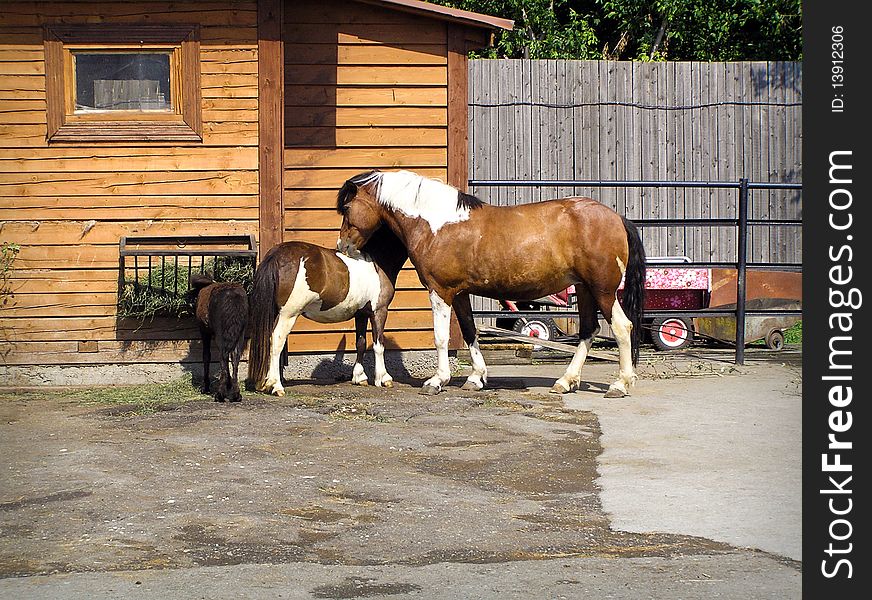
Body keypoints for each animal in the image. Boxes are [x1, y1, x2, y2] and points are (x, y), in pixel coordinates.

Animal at [247, 229, 408, 394]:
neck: (376, 263)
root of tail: (277, 254)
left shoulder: (361, 314)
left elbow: (361, 343)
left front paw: (360, 377)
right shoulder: (379, 311)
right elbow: (379, 345)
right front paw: (384, 378)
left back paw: (265, 384)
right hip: (288, 314)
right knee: (276, 340)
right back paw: (277, 386)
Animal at [338, 169, 644, 398]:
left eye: (347, 208)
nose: (343, 246)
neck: (436, 224)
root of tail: (617, 218)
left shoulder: (440, 291)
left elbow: (441, 338)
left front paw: (437, 381)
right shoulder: (460, 293)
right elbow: (469, 331)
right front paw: (475, 378)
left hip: (603, 289)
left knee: (622, 327)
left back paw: (619, 384)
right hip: (585, 288)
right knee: (589, 330)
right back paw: (566, 381)